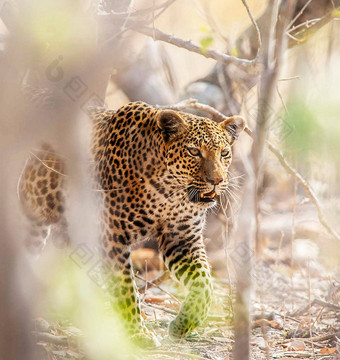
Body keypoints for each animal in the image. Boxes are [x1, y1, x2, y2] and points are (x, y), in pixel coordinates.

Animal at [18, 101, 244, 344]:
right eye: (194, 151)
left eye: (224, 153)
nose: (217, 180)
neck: (170, 194)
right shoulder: (111, 237)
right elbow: (125, 289)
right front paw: (138, 334)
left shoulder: (182, 238)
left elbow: (205, 284)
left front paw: (182, 325)